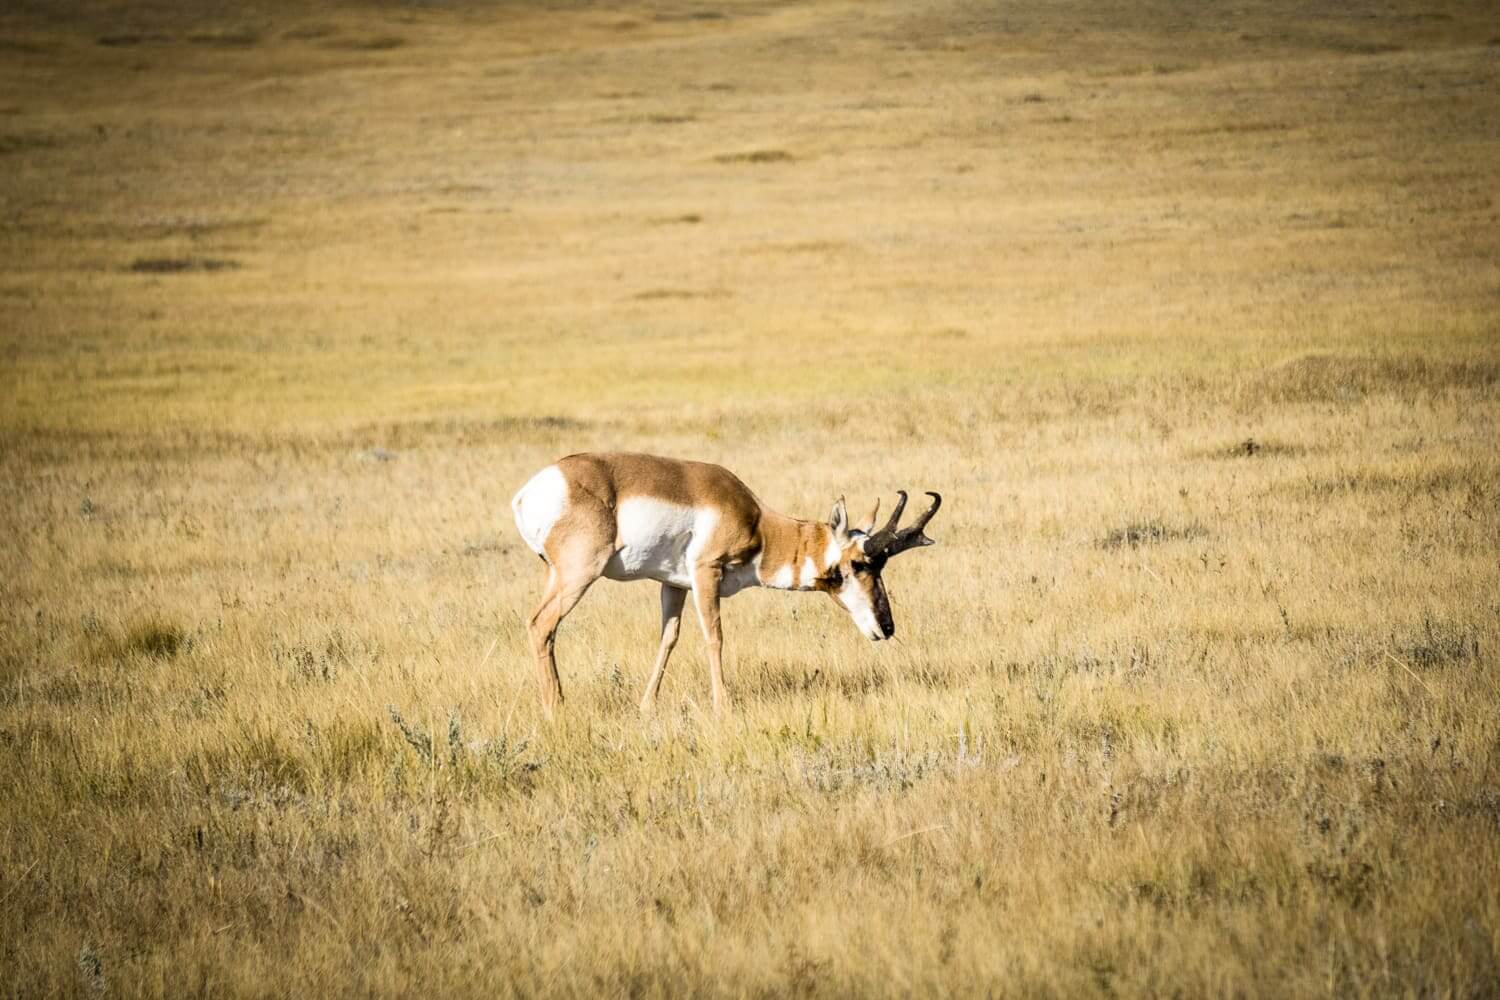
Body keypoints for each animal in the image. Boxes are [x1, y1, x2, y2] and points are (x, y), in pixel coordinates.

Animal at [510, 452, 942, 719]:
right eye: (859, 562)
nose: (886, 627)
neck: (759, 522)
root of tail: (534, 489)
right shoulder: (706, 573)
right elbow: (714, 637)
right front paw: (724, 707)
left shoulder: (674, 585)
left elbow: (669, 639)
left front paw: (646, 706)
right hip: (579, 574)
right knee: (541, 624)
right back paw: (556, 709)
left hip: (558, 575)